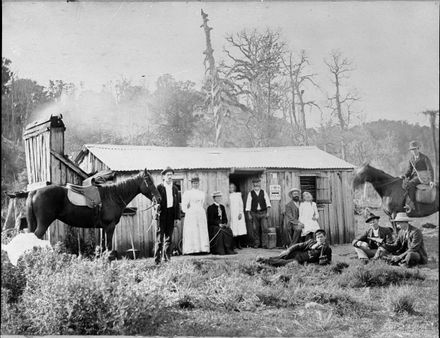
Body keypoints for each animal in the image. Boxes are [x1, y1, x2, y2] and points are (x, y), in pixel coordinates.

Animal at [24, 169, 162, 254]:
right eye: (149, 181)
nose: (159, 198)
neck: (113, 196)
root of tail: (35, 192)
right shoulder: (110, 226)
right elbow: (109, 248)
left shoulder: (104, 228)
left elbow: (104, 248)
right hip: (43, 224)